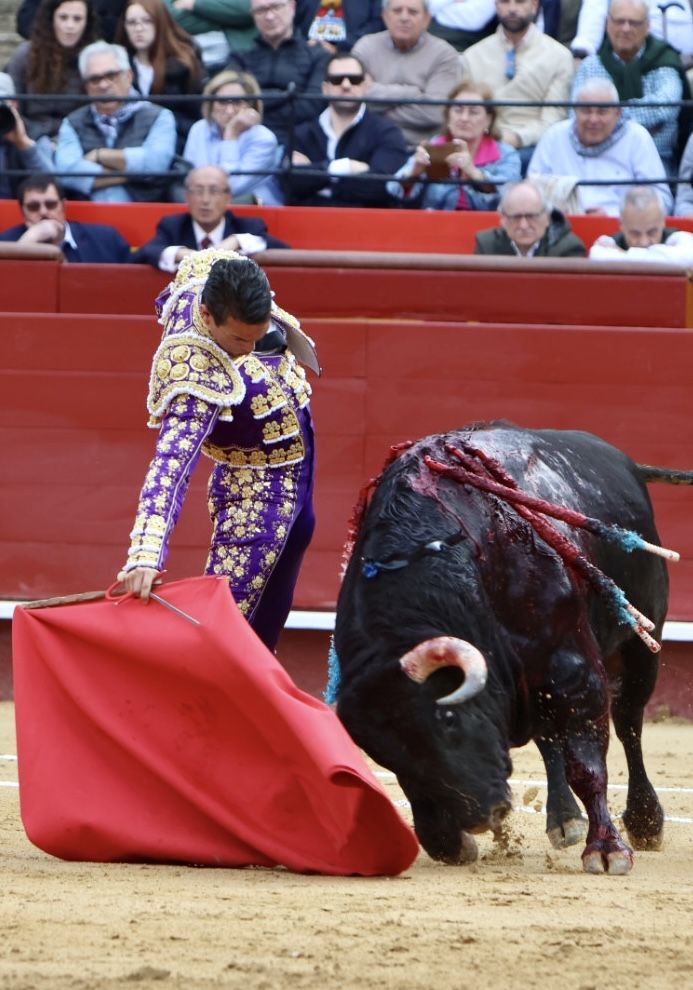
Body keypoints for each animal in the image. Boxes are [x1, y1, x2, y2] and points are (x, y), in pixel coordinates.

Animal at [332, 424, 688, 876]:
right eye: (382, 754)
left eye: (448, 719)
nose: (481, 817)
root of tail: (623, 461)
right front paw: (449, 844)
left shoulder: (571, 668)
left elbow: (587, 763)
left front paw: (608, 849)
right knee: (549, 738)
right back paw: (564, 819)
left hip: (640, 645)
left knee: (628, 723)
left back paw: (645, 822)